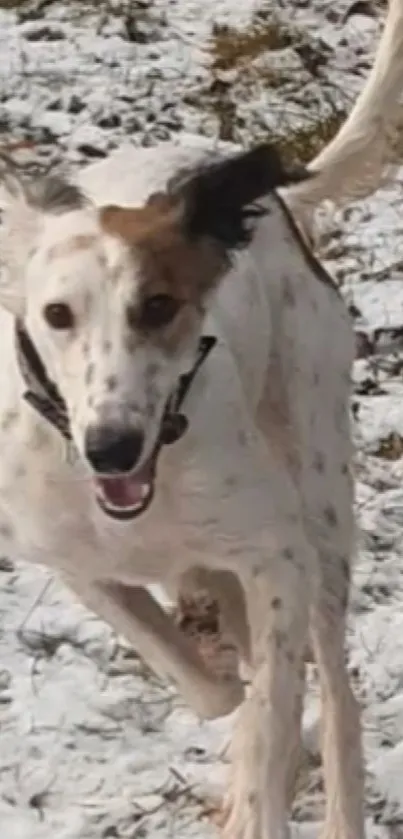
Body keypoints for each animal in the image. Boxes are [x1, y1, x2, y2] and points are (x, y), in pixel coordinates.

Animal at [0, 3, 402, 836]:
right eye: (56, 314)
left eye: (158, 305)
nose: (111, 448)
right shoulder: (70, 557)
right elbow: (208, 685)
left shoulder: (278, 556)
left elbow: (268, 709)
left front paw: (258, 779)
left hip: (321, 501)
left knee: (336, 696)